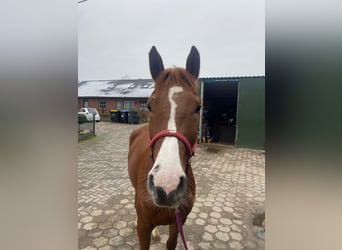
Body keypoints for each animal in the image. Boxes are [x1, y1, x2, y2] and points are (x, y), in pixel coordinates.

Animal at [129, 46, 202, 249]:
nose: (167, 185)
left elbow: (171, 243)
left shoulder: (178, 222)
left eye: (198, 107)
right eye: (149, 105)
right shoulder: (143, 227)